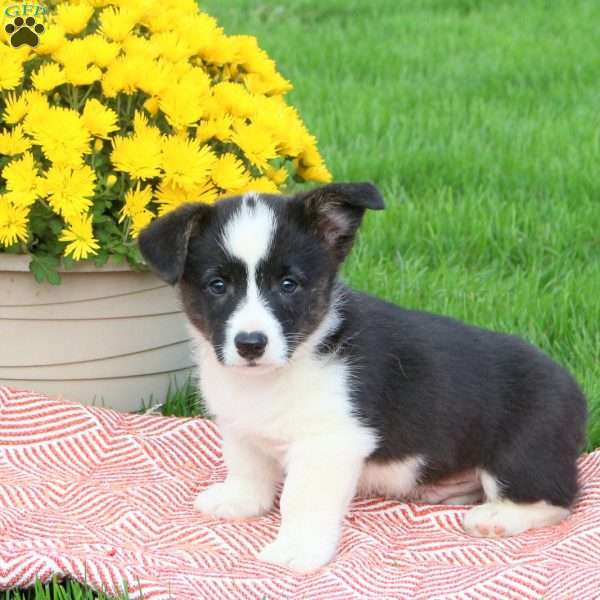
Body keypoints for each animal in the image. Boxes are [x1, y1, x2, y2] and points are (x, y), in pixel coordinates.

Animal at [139, 185, 584, 576]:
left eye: (288, 284)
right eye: (217, 285)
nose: (250, 344)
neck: (279, 372)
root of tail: (575, 390)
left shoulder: (329, 444)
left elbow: (302, 500)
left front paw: (297, 550)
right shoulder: (240, 427)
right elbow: (247, 466)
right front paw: (240, 501)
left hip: (521, 452)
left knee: (559, 499)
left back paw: (498, 517)